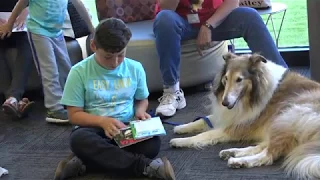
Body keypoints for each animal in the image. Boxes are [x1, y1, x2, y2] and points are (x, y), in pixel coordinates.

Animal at [171, 52, 320, 179]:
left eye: (239, 79)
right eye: (226, 78)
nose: (225, 102)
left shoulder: (240, 126)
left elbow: (205, 134)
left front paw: (181, 141)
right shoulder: (230, 116)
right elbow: (203, 120)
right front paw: (181, 128)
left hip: (289, 116)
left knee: (268, 155)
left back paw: (239, 161)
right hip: (280, 123)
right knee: (263, 146)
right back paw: (231, 152)